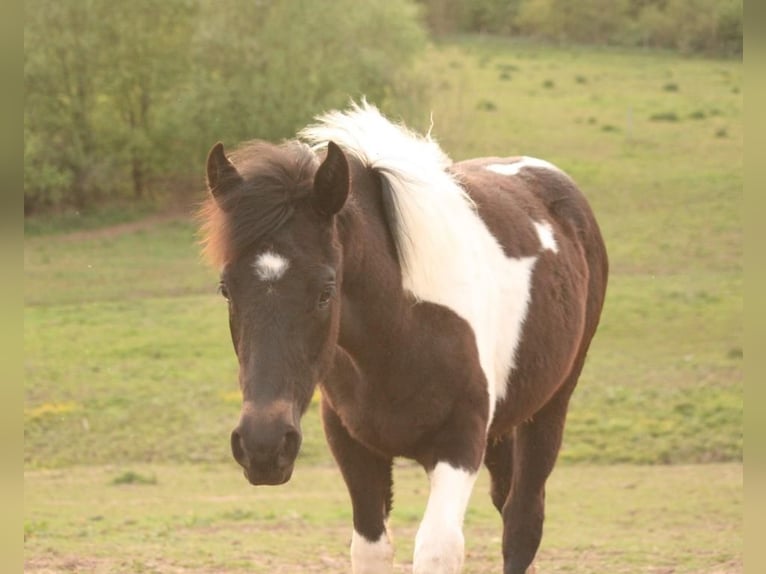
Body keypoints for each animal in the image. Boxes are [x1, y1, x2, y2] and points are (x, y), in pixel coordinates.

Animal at [201, 102, 608, 574]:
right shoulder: (355, 449)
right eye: (226, 289)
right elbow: (371, 549)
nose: (263, 446)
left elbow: (437, 548)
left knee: (522, 522)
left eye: (326, 290)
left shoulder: (459, 444)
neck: (399, 339)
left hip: (550, 406)